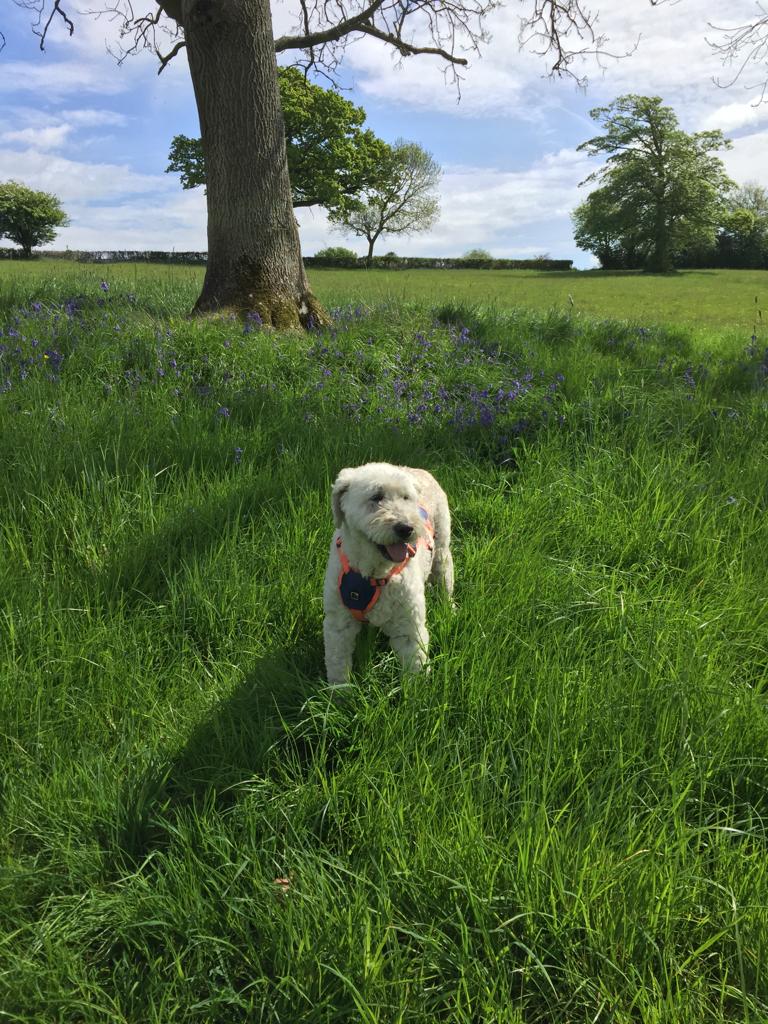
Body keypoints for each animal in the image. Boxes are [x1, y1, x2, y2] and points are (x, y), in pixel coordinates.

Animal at [323, 462, 454, 684]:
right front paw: (340, 693)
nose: (406, 528)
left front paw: (417, 692)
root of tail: (420, 470)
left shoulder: (409, 625)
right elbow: (337, 664)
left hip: (442, 554)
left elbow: (415, 665)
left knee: (445, 586)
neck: (374, 573)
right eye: (376, 497)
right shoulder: (338, 623)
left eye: (406, 498)